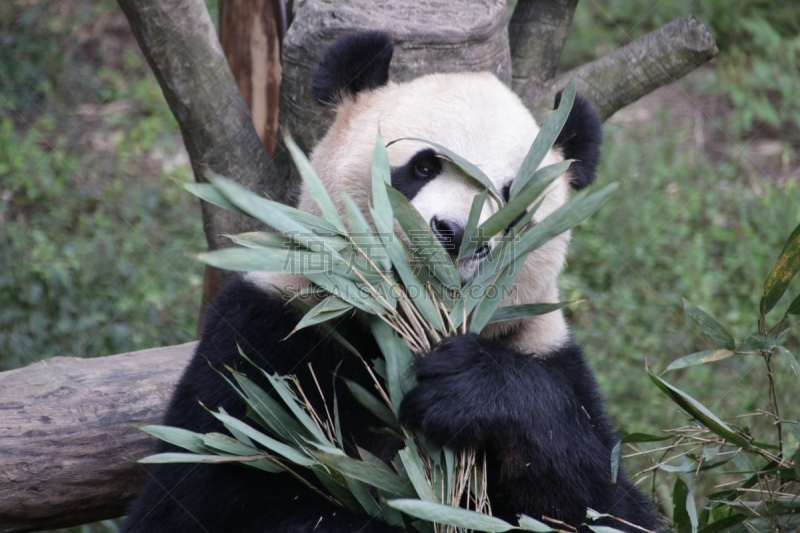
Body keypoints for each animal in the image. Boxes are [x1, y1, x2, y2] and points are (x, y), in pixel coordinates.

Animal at [125, 32, 660, 532]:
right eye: (422, 166)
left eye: (512, 200)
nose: (458, 235)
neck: (403, 331)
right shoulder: (267, 332)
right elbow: (205, 488)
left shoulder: (545, 352)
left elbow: (608, 504)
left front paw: (470, 389)